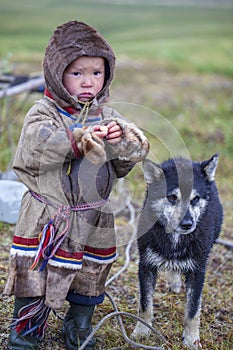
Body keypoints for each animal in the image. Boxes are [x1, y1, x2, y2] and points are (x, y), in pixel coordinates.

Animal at [132, 154, 223, 348]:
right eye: (172, 197)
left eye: (195, 199)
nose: (187, 224)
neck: (175, 237)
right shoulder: (146, 265)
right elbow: (145, 305)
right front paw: (141, 332)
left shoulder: (198, 271)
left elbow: (192, 311)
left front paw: (191, 339)